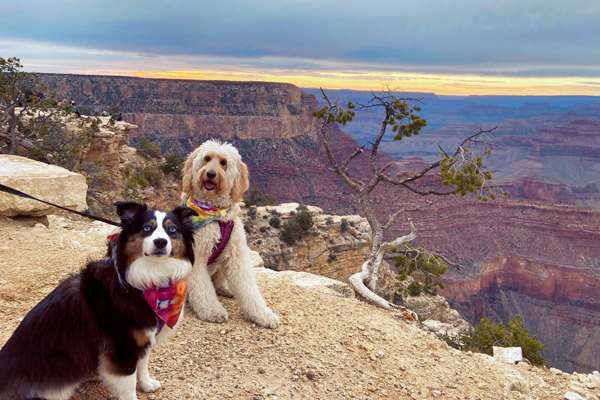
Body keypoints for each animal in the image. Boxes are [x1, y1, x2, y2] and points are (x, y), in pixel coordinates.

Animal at [0, 203, 197, 400]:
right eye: (146, 228)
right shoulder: (121, 346)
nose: (160, 242)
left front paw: (147, 384)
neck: (148, 281)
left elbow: (143, 363)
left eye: (172, 230)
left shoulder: (144, 337)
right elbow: (129, 383)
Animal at [180, 140, 278, 328]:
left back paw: (224, 290)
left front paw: (263, 315)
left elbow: (248, 287)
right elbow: (203, 289)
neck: (216, 214)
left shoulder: (236, 254)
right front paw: (213, 311)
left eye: (223, 163)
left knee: (217, 282)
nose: (211, 174)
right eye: (207, 159)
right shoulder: (197, 257)